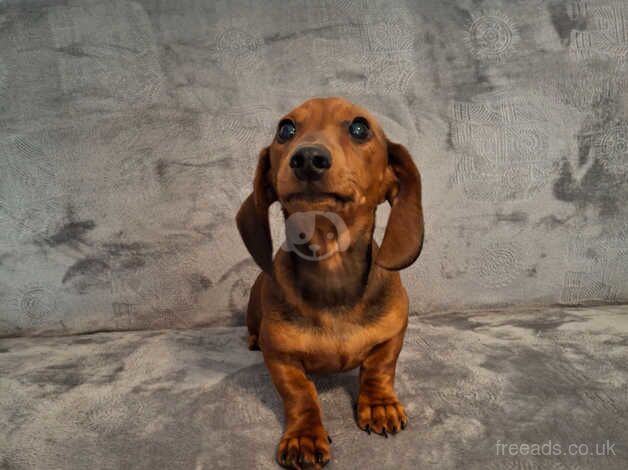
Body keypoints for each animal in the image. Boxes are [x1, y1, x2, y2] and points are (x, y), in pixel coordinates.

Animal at [238, 97, 424, 468]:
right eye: (286, 129)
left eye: (360, 127)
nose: (308, 158)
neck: (331, 271)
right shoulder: (280, 356)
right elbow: (300, 394)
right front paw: (304, 436)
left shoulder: (394, 333)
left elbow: (380, 368)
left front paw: (379, 405)